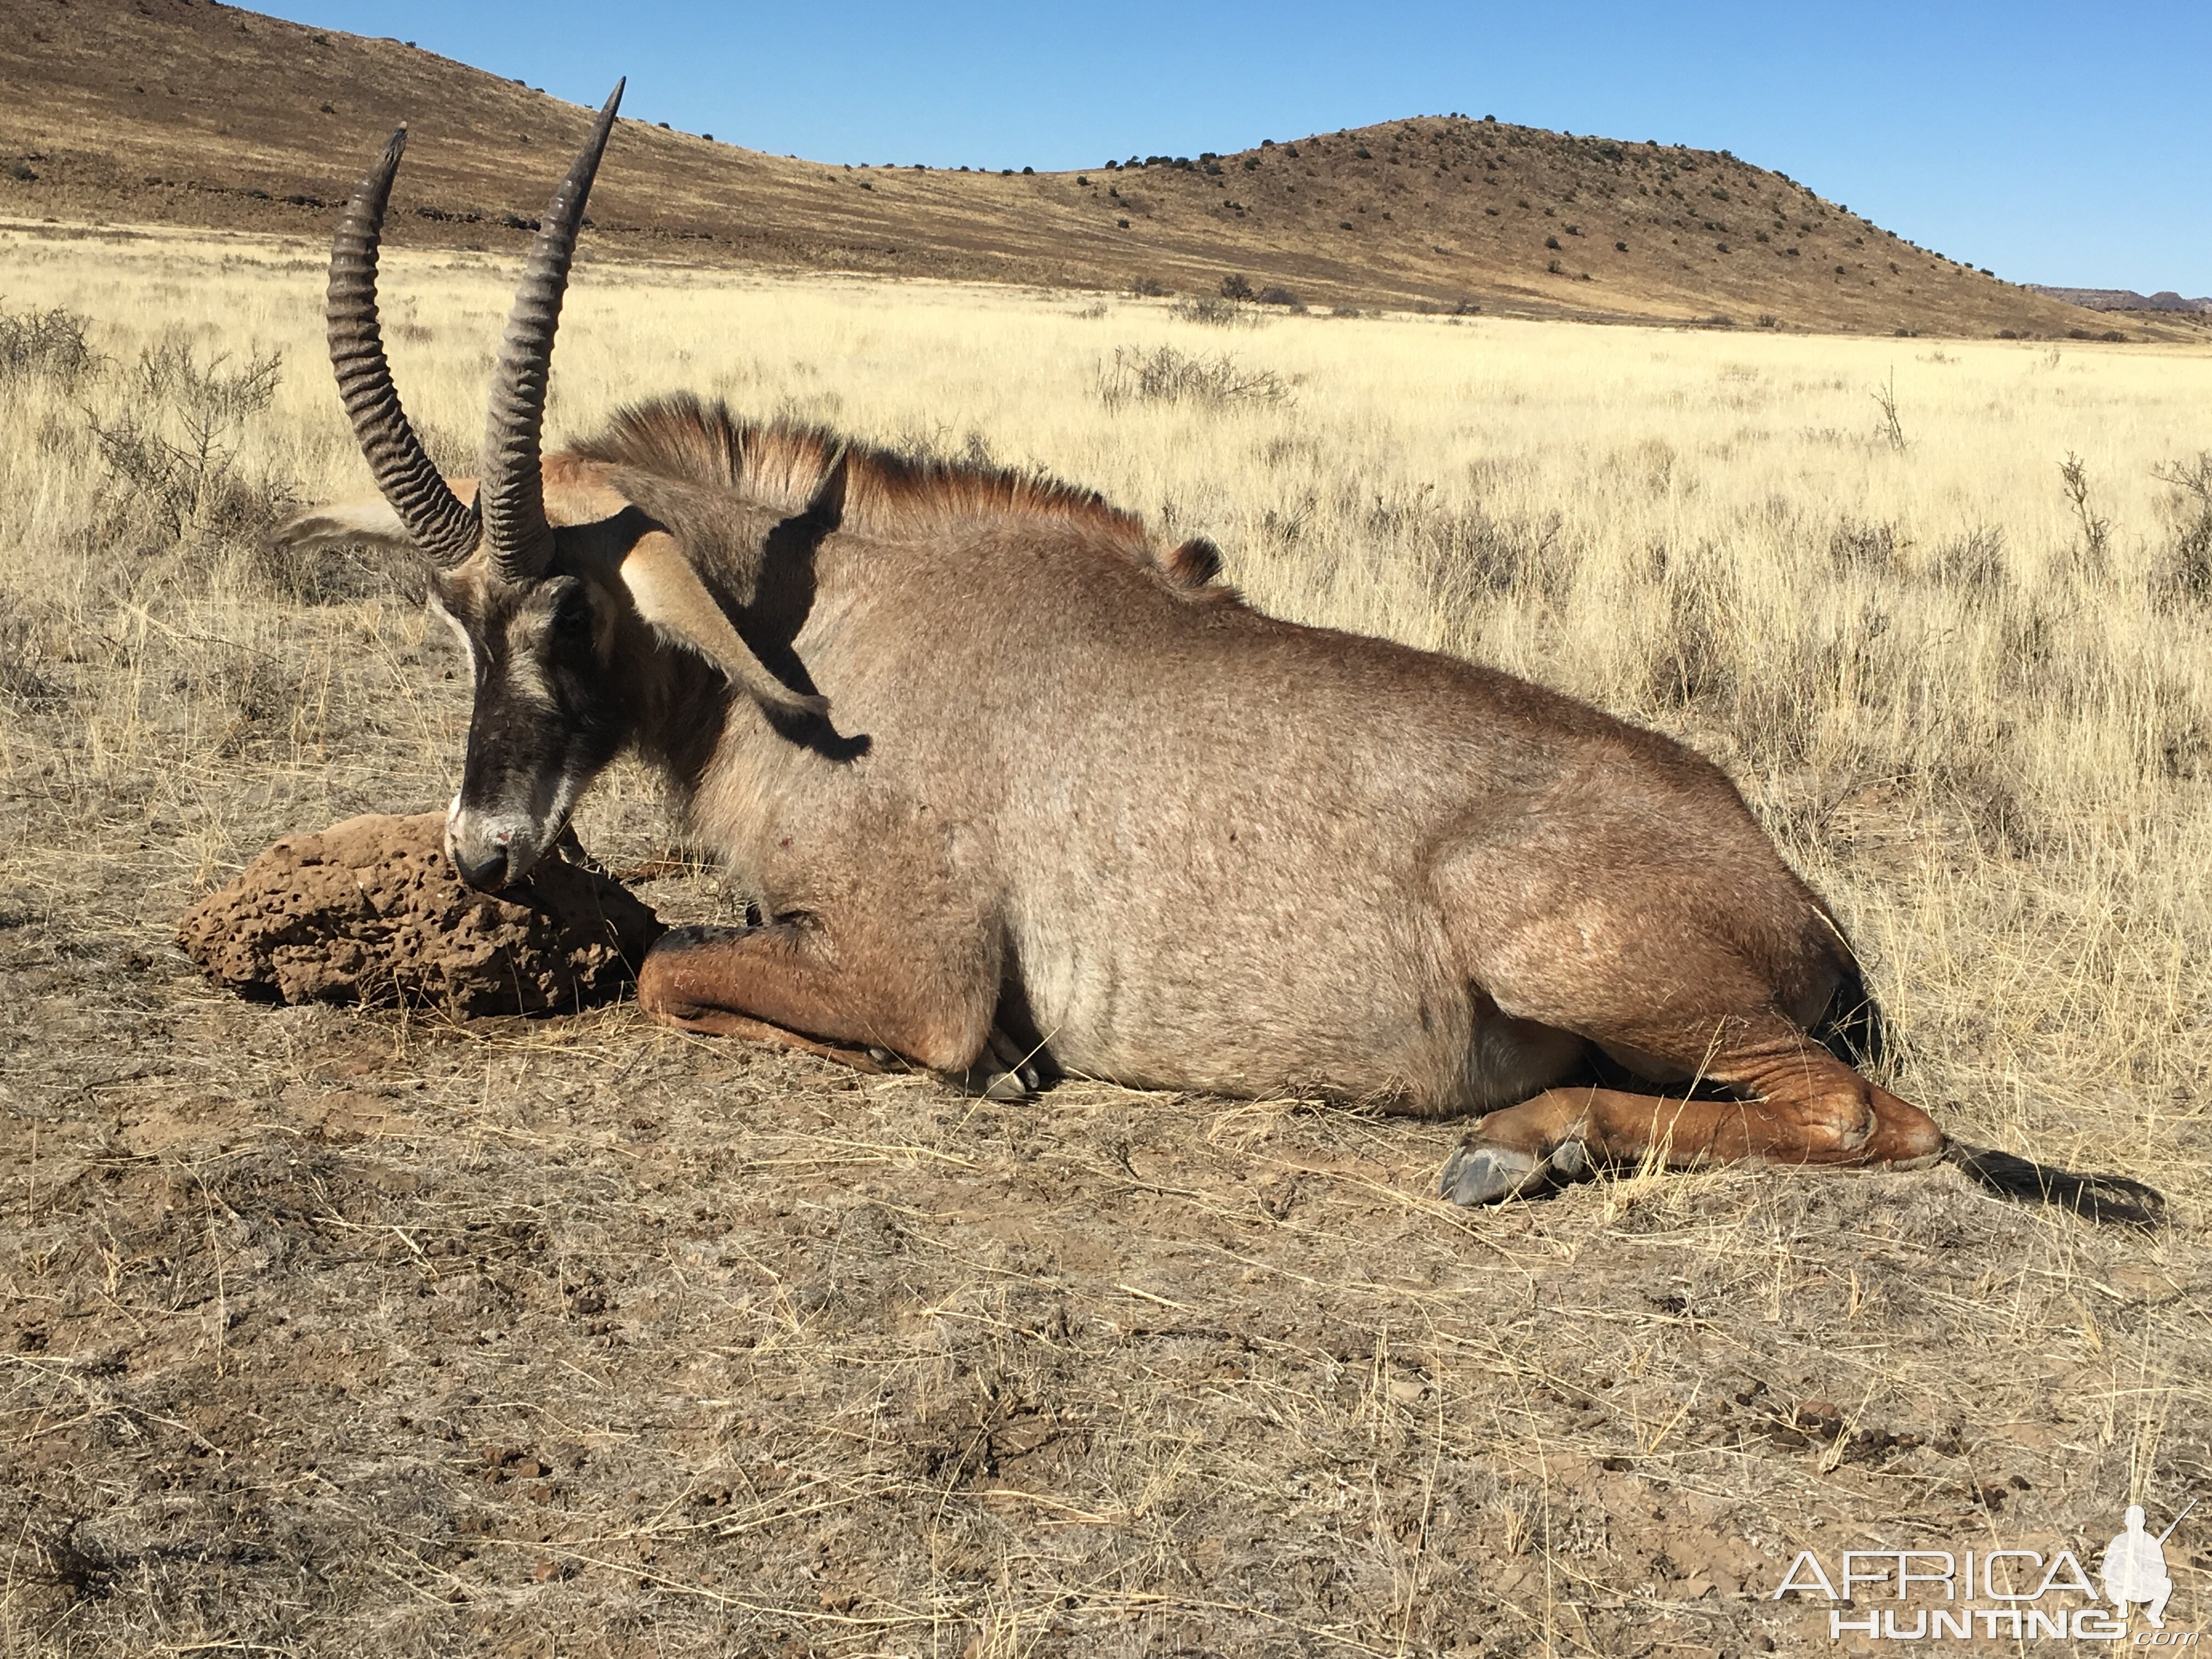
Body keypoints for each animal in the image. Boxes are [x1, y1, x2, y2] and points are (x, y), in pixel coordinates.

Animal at [281, 88, 1973, 1212]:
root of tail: (1787, 883)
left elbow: (670, 972)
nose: (485, 853)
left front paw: (1003, 1067)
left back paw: (1518, 1141)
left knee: (1876, 1122)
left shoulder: (920, 974)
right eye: (450, 617)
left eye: (569, 608)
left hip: (1575, 955)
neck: (823, 642)